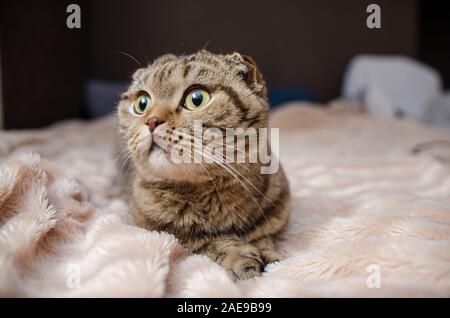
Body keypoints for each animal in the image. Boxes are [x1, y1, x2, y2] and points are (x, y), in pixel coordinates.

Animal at [118, 48, 290, 280]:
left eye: (196, 99)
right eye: (142, 103)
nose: (151, 121)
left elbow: (264, 236)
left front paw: (269, 255)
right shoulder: (161, 231)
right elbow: (207, 243)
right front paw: (239, 256)